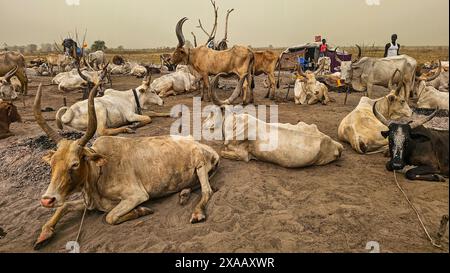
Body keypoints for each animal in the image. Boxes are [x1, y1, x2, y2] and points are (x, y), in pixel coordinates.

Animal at [33, 81, 220, 249]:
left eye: (75, 164)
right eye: (52, 164)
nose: (47, 200)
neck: (98, 173)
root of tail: (199, 144)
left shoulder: (136, 196)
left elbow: (110, 217)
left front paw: (141, 211)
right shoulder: (90, 203)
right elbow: (64, 206)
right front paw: (44, 234)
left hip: (200, 165)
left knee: (207, 191)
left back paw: (197, 212)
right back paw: (183, 194)